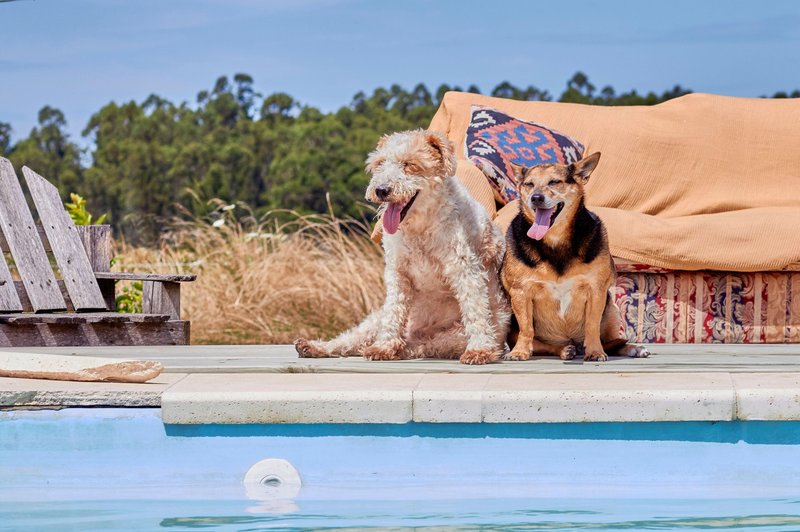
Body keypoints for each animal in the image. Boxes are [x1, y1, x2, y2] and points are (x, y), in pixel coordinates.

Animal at [290, 128, 510, 366]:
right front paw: (384, 346)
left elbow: (475, 309)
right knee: (350, 340)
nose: (381, 190)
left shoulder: (464, 268)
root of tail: (418, 330)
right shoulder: (397, 272)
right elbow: (394, 312)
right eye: (379, 163)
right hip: (375, 320)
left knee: (417, 346)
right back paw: (314, 347)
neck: (419, 227)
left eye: (409, 164)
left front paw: (480, 350)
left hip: (453, 337)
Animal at [504, 154, 648, 362]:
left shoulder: (596, 290)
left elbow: (592, 326)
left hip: (612, 309)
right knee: (545, 345)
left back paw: (632, 348)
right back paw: (565, 349)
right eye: (529, 184)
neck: (555, 241)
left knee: (612, 341)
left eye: (555, 182)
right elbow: (527, 328)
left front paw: (595, 351)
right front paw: (519, 351)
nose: (536, 198)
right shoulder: (520, 292)